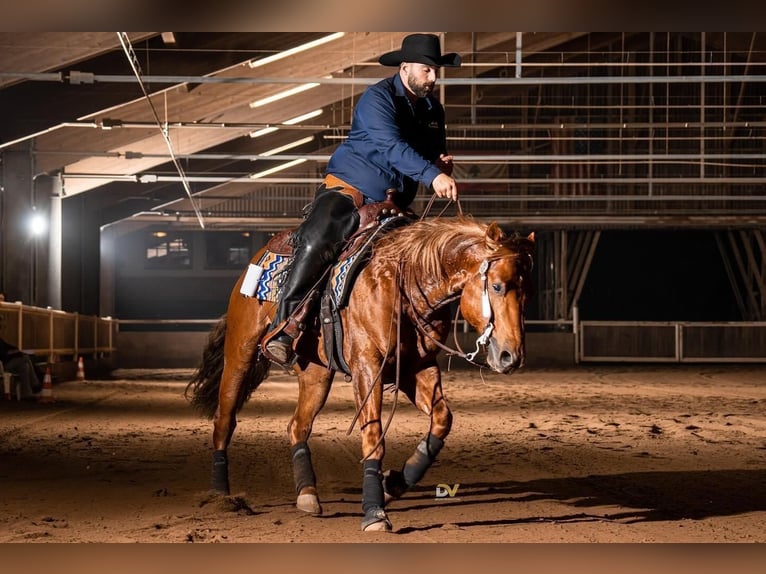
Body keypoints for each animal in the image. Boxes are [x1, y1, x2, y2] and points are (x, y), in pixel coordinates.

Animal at [185, 215, 535, 532]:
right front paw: (374, 513)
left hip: (316, 373)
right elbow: (373, 437)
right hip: (240, 353)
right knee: (225, 419)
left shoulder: (417, 367)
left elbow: (441, 420)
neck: (403, 283)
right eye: (497, 286)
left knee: (297, 426)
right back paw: (221, 496)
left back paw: (307, 494)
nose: (511, 356)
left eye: (527, 293)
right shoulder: (368, 366)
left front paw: (395, 483)